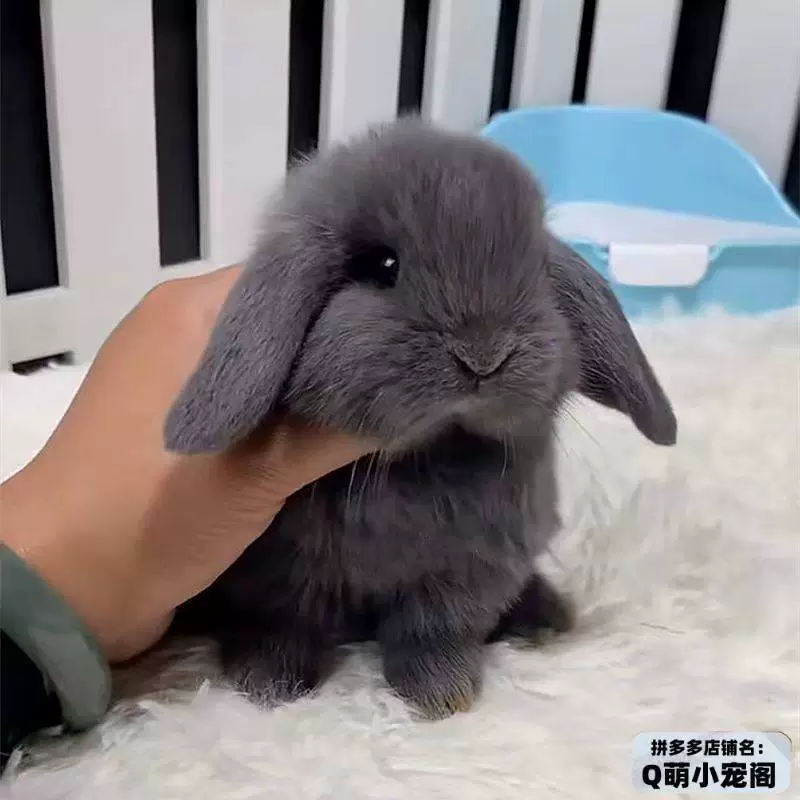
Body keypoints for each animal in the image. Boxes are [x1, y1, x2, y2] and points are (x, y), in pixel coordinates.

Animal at [164, 118, 677, 718]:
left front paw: (443, 696)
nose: (484, 356)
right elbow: (284, 625)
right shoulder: (275, 575)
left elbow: (434, 630)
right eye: (382, 265)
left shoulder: (469, 572)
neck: (422, 460)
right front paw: (267, 686)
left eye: (535, 273)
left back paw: (547, 616)